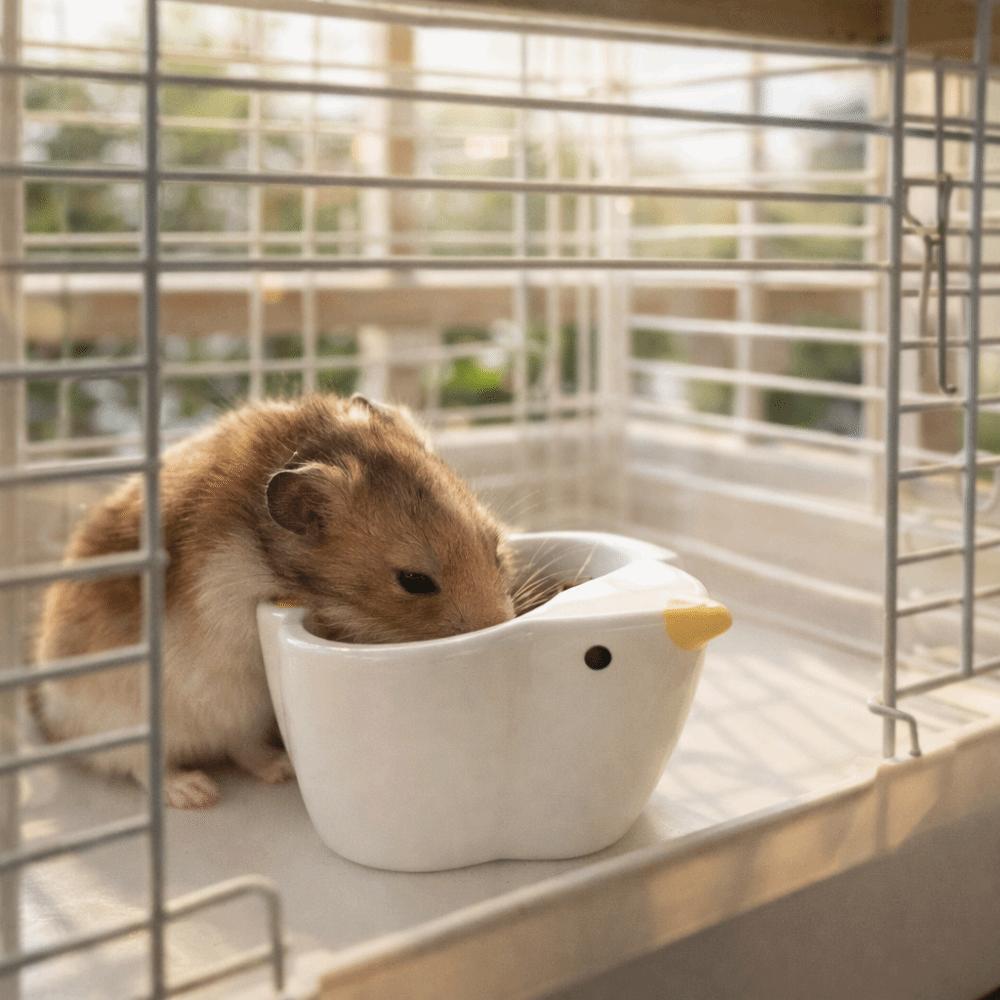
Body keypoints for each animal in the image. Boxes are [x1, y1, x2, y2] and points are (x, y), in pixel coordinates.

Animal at [33, 394, 515, 808]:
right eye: (414, 581)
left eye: (494, 549)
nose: (498, 624)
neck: (267, 547)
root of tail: (47, 724)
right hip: (119, 717)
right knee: (143, 765)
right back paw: (197, 793)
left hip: (240, 712)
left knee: (241, 746)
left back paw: (278, 768)